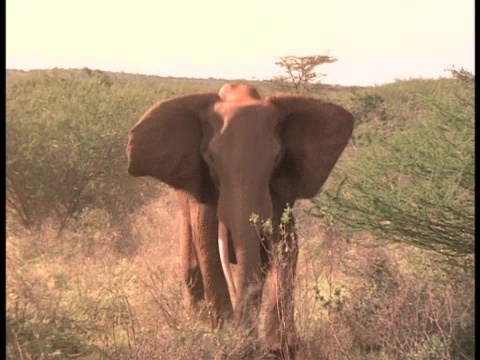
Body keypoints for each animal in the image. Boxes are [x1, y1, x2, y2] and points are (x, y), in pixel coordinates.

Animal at [126, 83, 352, 356]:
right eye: (211, 158)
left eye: (276, 158)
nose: (247, 341)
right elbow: (209, 249)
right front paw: (227, 342)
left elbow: (287, 247)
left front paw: (279, 348)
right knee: (191, 263)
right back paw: (197, 323)